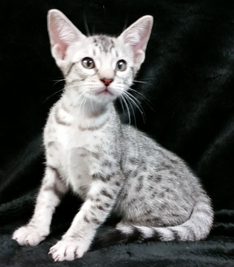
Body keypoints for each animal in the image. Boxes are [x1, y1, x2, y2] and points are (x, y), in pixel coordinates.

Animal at [12, 9, 214, 262]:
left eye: (121, 65)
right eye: (88, 62)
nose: (108, 78)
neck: (79, 119)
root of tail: (198, 189)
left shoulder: (109, 177)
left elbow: (88, 214)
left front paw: (72, 242)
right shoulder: (54, 166)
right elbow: (43, 200)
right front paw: (35, 229)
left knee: (173, 218)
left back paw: (127, 224)